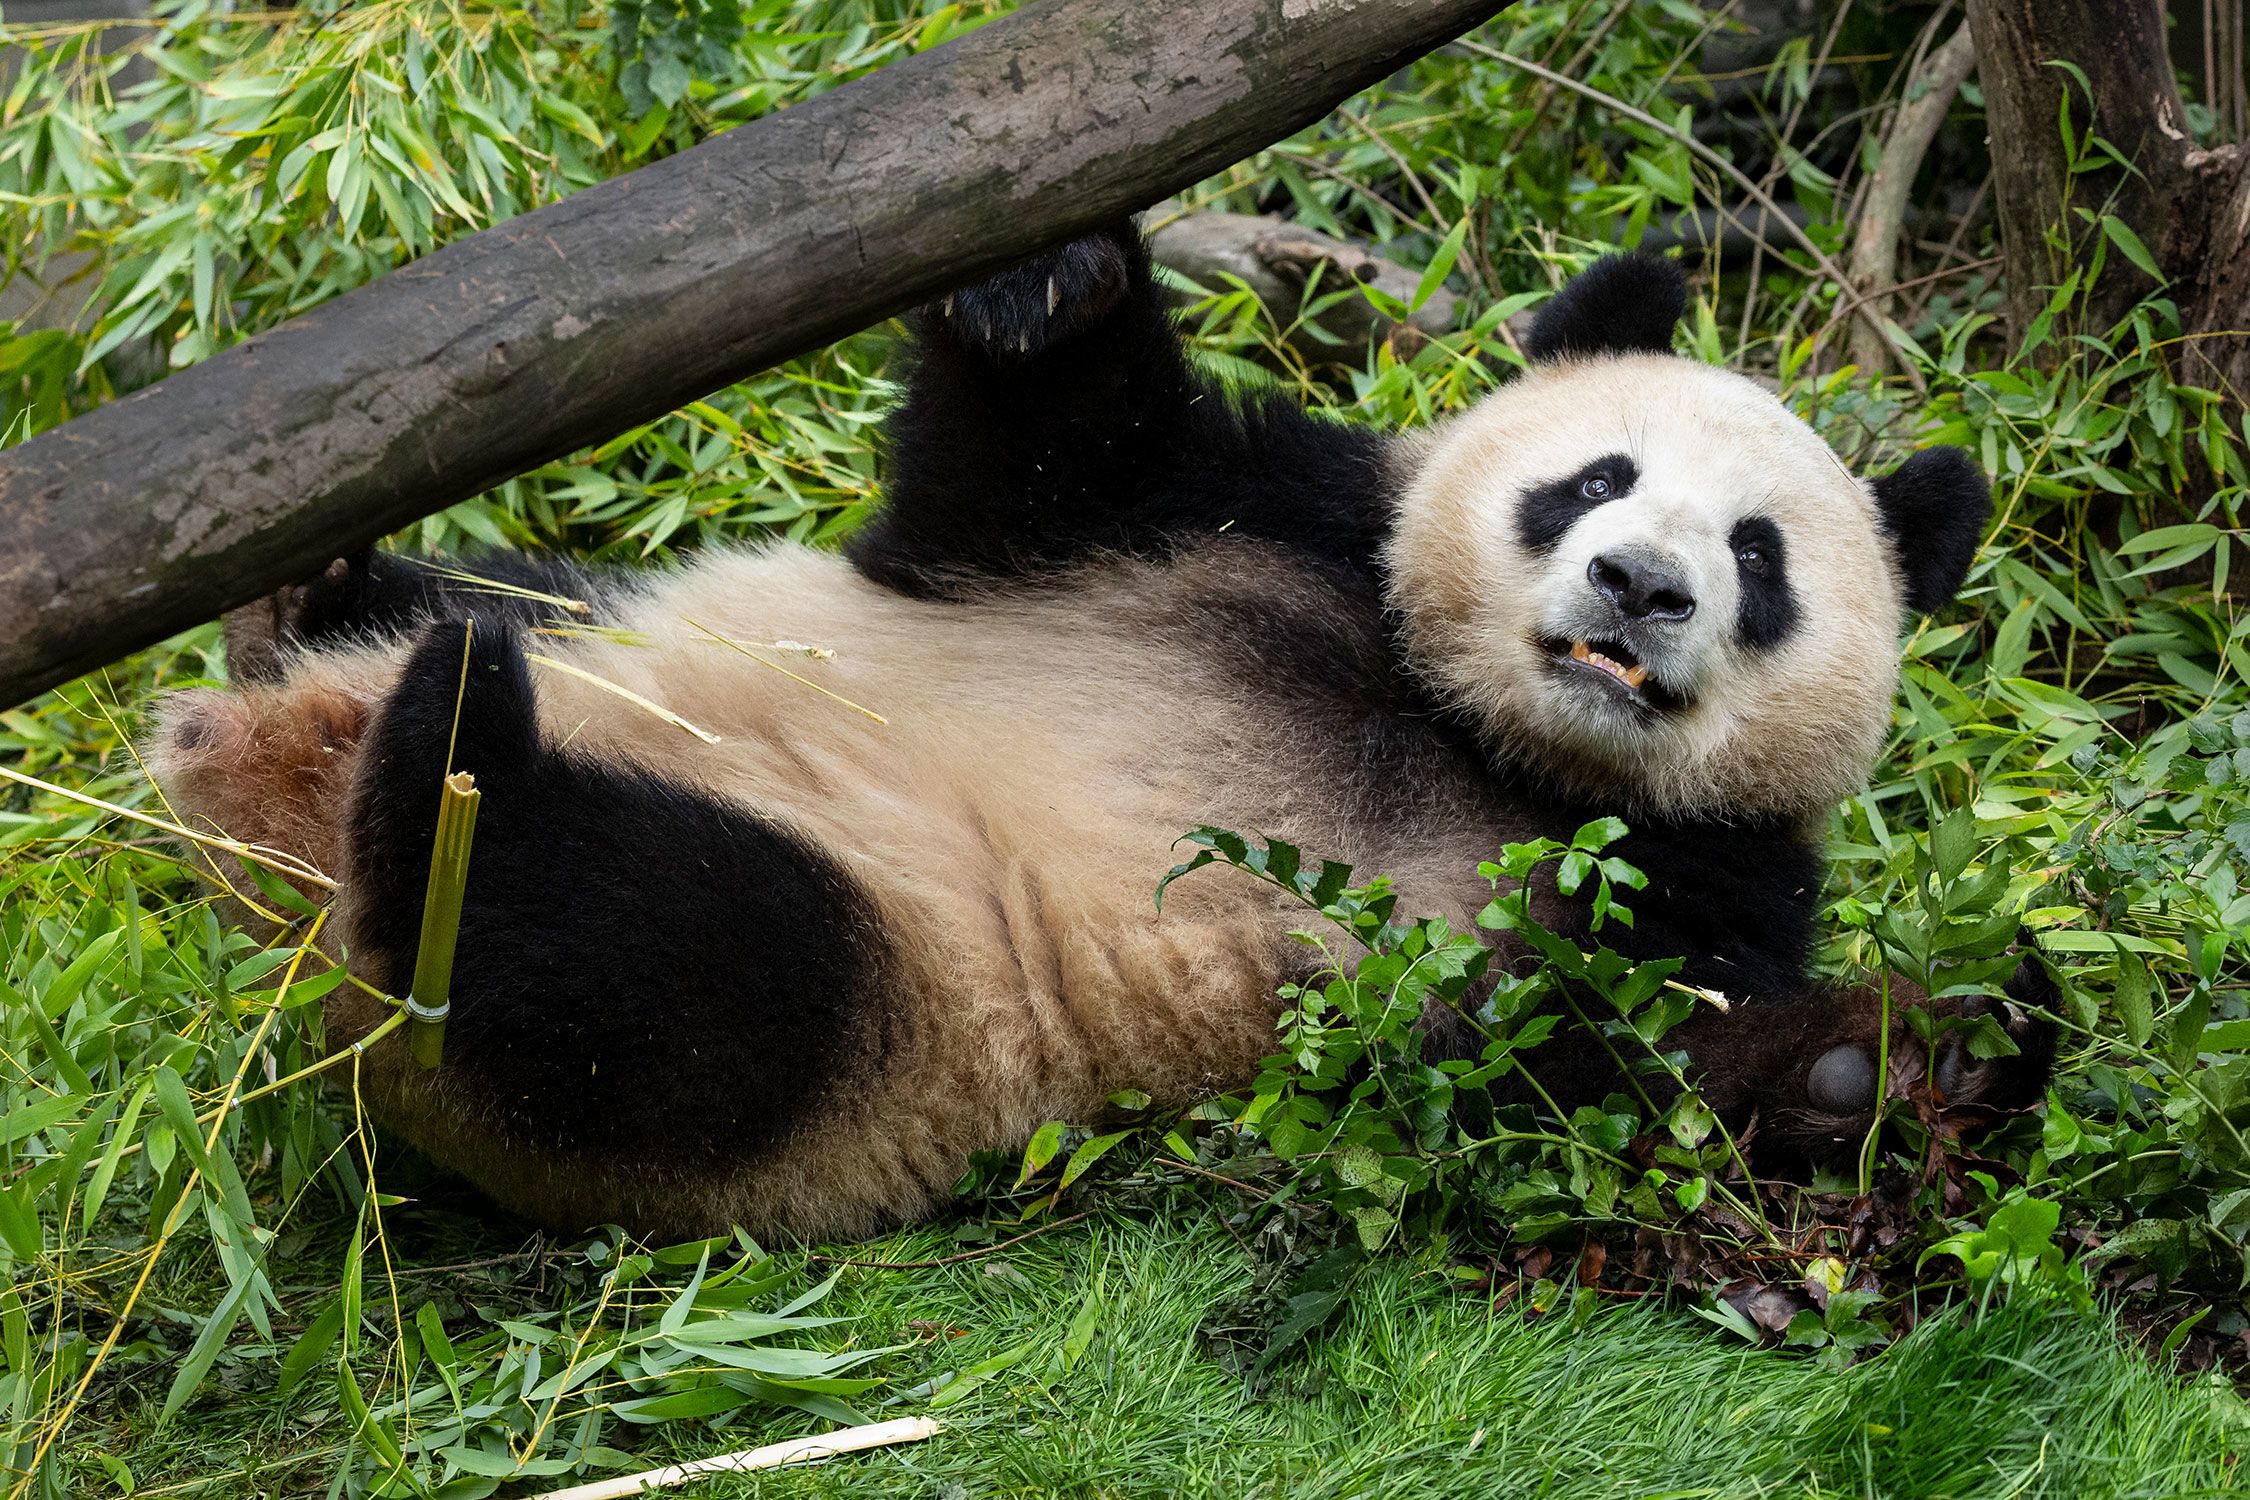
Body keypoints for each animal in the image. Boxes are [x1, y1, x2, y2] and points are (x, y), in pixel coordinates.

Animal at [149, 226, 2061, 1241]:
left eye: (1760, 560)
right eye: (1593, 481)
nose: (1642, 583)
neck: (1474, 735)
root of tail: (262, 816)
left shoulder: (1682, 880)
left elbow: (1572, 1080)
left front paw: (1900, 1066)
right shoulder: (1250, 518)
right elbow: (1025, 474)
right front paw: (1048, 282)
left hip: (885, 1009)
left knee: (647, 967)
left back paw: (444, 781)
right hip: (606, 625)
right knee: (497, 620)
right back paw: (320, 605)